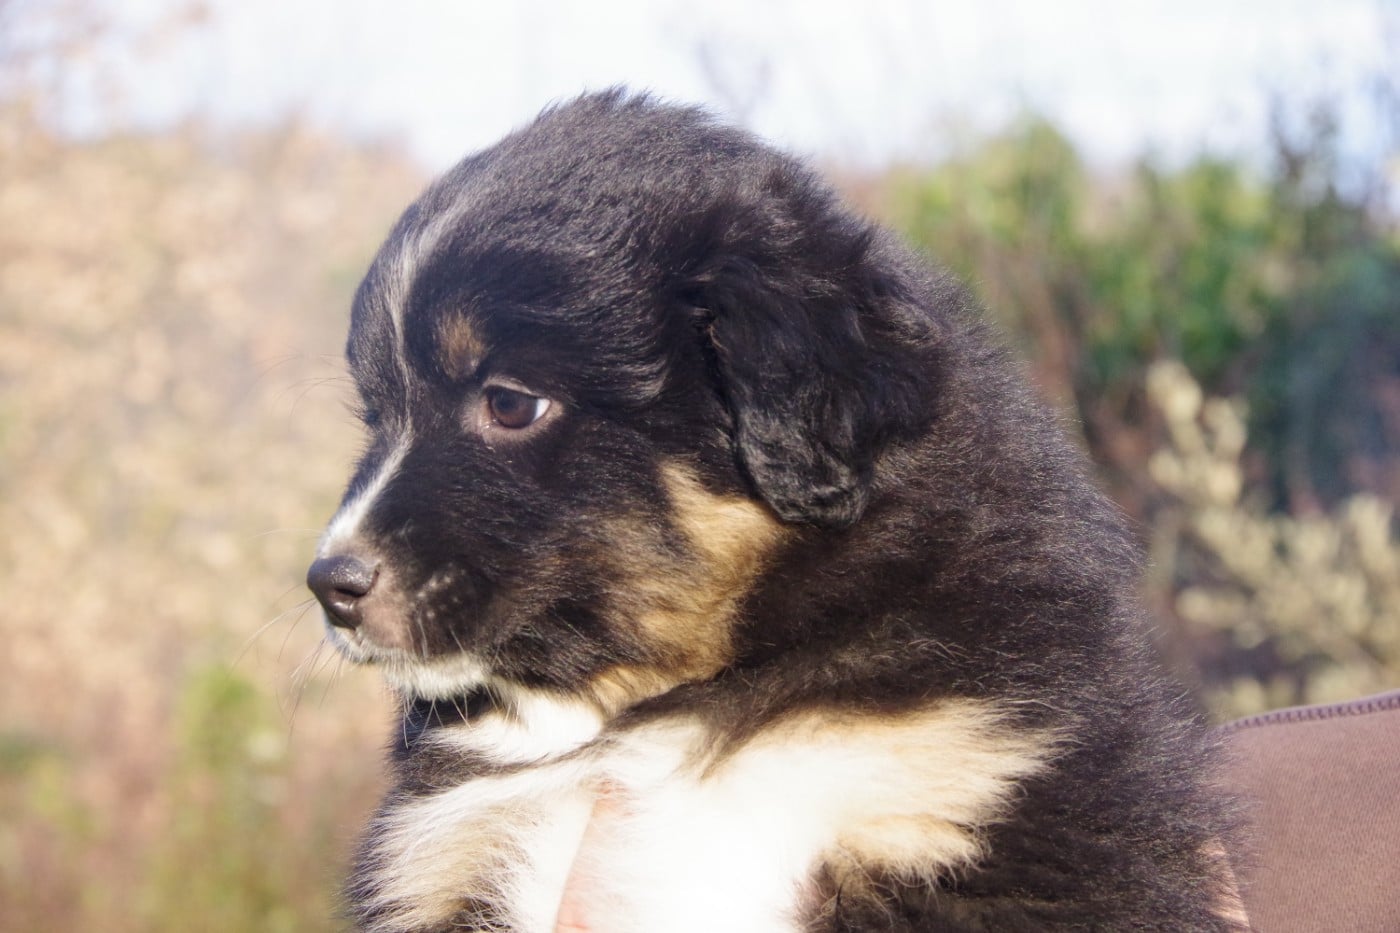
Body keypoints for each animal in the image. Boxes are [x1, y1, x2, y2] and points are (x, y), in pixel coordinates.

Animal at [307, 90, 1241, 932]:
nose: (330, 584)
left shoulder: (983, 797)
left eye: (509, 403)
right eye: (376, 415)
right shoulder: (446, 856)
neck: (655, 710)